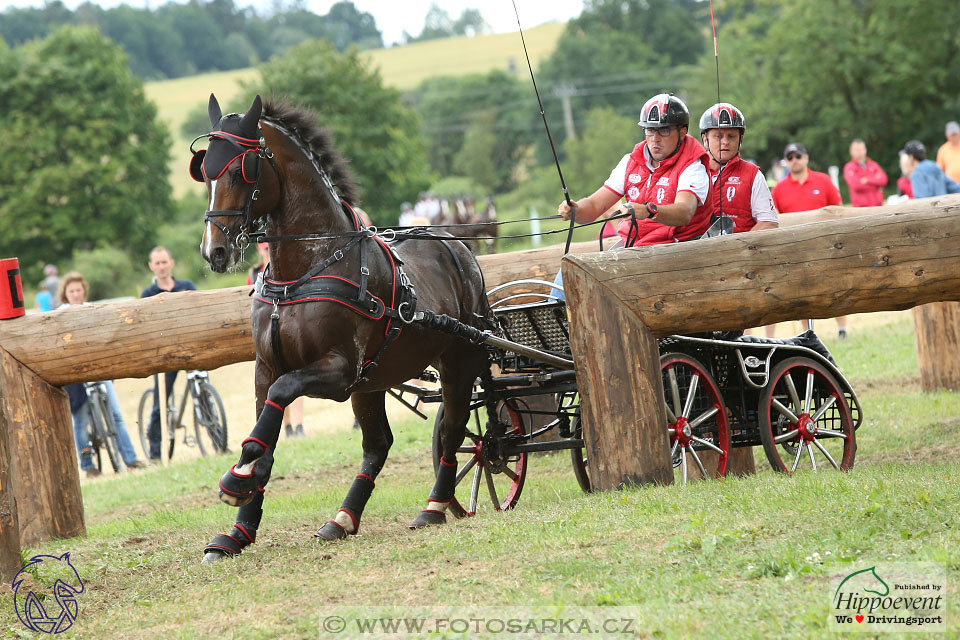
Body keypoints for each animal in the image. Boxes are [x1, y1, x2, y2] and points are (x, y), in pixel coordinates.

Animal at [191, 94, 492, 560]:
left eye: (244, 169)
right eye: (205, 170)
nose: (215, 251)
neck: (304, 270)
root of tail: (459, 248)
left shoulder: (338, 371)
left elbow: (278, 404)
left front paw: (237, 477)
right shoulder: (267, 368)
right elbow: (268, 431)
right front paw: (239, 528)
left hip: (458, 362)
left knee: (453, 433)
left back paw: (434, 507)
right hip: (373, 383)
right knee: (378, 445)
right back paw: (343, 518)